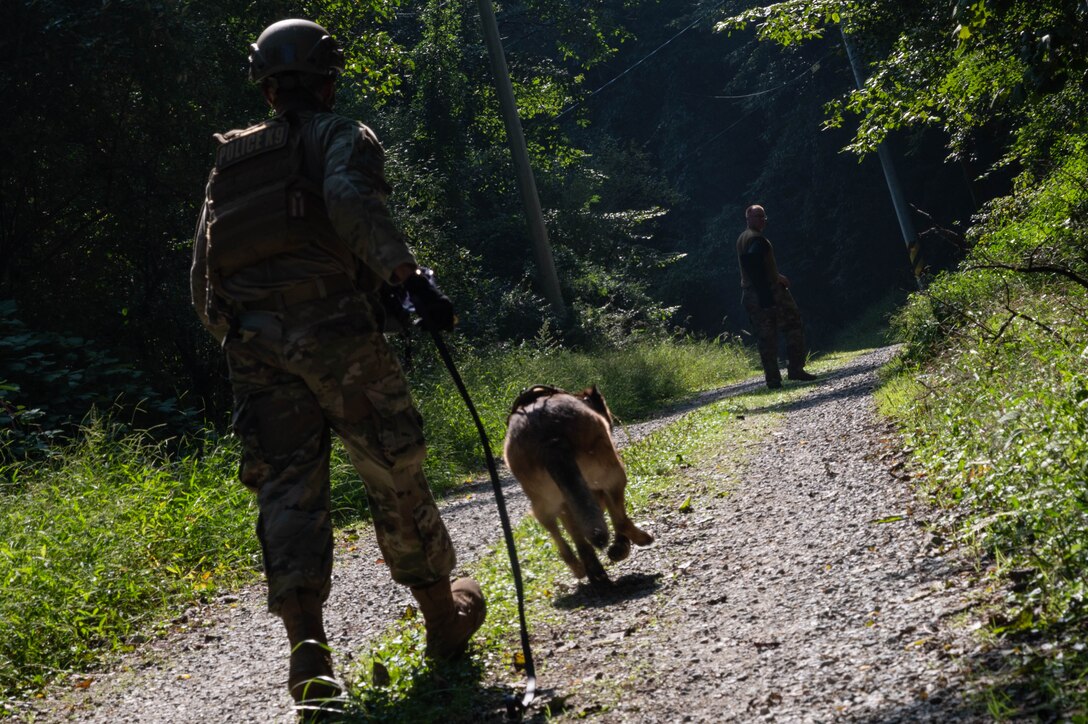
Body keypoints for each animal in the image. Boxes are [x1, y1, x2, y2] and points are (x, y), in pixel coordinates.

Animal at [502, 383, 648, 583]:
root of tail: (550, 438)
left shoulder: (569, 504)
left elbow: (577, 533)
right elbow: (613, 514)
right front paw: (621, 545)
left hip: (544, 501)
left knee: (557, 531)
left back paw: (580, 567)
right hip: (615, 474)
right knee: (621, 521)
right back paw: (639, 539)